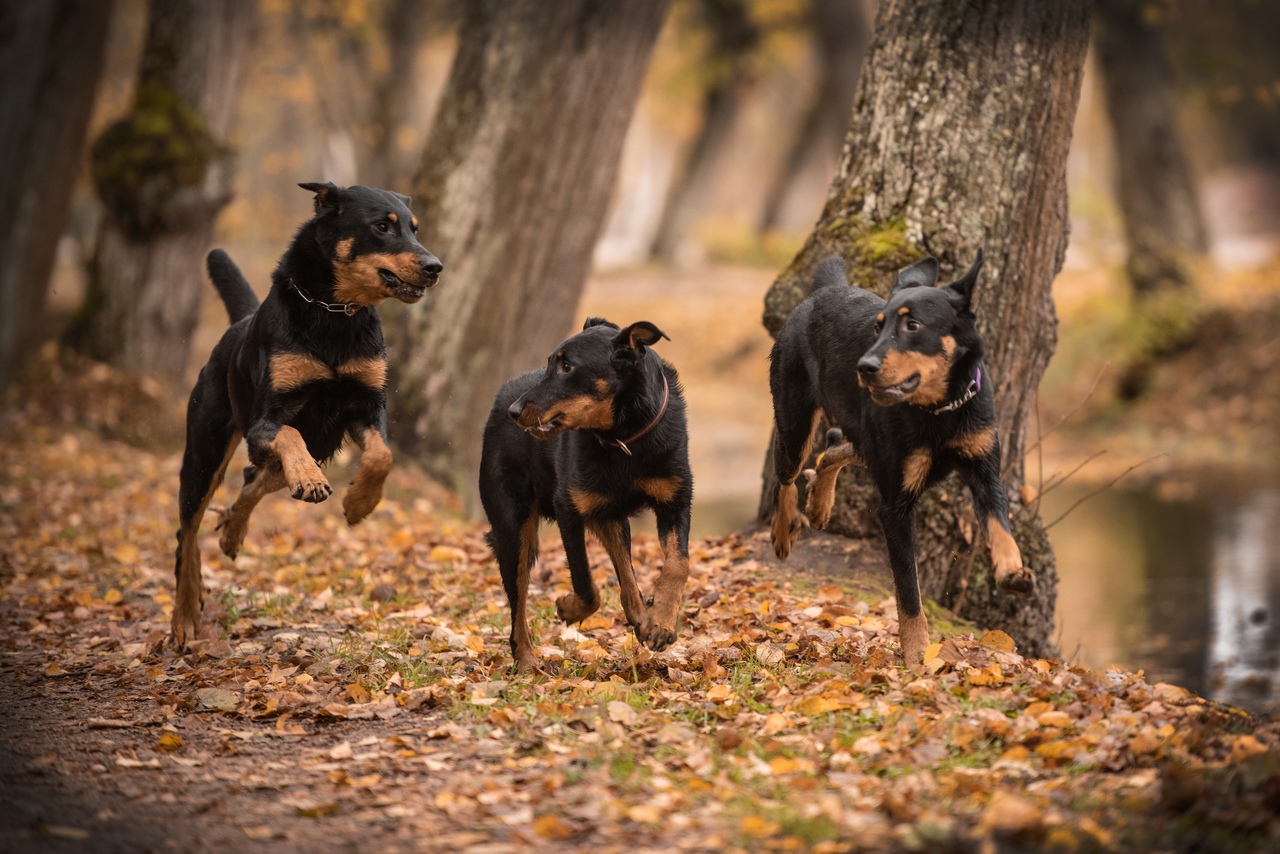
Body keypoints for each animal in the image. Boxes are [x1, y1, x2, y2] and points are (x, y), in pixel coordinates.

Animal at [170, 181, 442, 647]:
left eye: (414, 228)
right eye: (381, 227)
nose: (435, 266)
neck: (333, 312)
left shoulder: (366, 406)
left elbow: (382, 455)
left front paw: (359, 503)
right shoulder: (267, 420)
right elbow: (288, 433)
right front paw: (315, 484)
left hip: (311, 446)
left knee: (252, 482)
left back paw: (232, 531)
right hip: (205, 454)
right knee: (188, 532)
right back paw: (185, 615)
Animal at [481, 317, 696, 670]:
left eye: (567, 366)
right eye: (550, 363)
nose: (514, 411)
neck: (623, 439)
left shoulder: (675, 502)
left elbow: (679, 564)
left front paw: (662, 624)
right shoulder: (568, 509)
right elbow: (585, 584)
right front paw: (568, 607)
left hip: (608, 516)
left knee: (625, 571)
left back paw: (642, 618)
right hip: (513, 528)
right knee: (518, 602)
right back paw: (526, 660)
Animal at [768, 250, 1029, 665]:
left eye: (913, 325)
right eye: (877, 328)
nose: (864, 368)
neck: (939, 410)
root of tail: (824, 291)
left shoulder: (985, 473)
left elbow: (1001, 528)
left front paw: (1013, 572)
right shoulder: (895, 505)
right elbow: (908, 591)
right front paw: (918, 655)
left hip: (866, 439)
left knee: (833, 446)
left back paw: (821, 504)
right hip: (795, 421)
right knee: (787, 476)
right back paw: (783, 530)